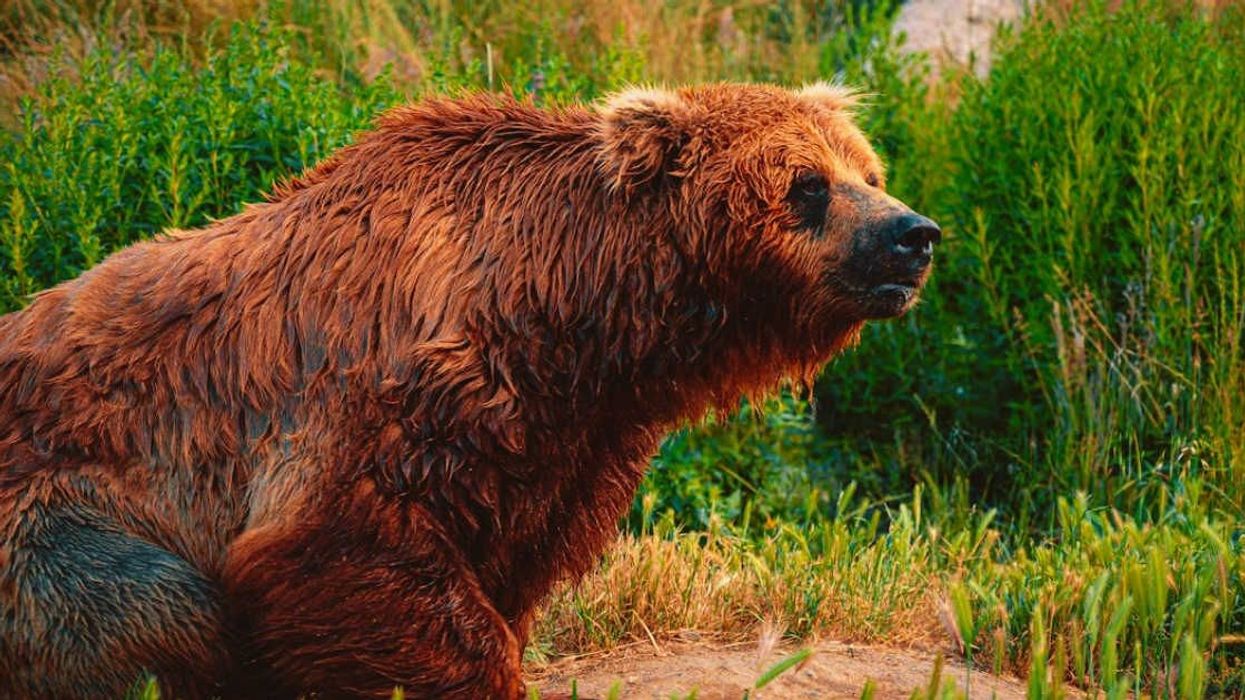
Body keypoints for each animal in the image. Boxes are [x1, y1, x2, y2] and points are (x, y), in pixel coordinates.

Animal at [0, 82, 939, 698]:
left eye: (868, 170)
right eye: (805, 185)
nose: (912, 234)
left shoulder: (569, 440)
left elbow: (513, 562)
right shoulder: (388, 392)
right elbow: (337, 542)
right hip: (54, 517)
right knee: (153, 600)